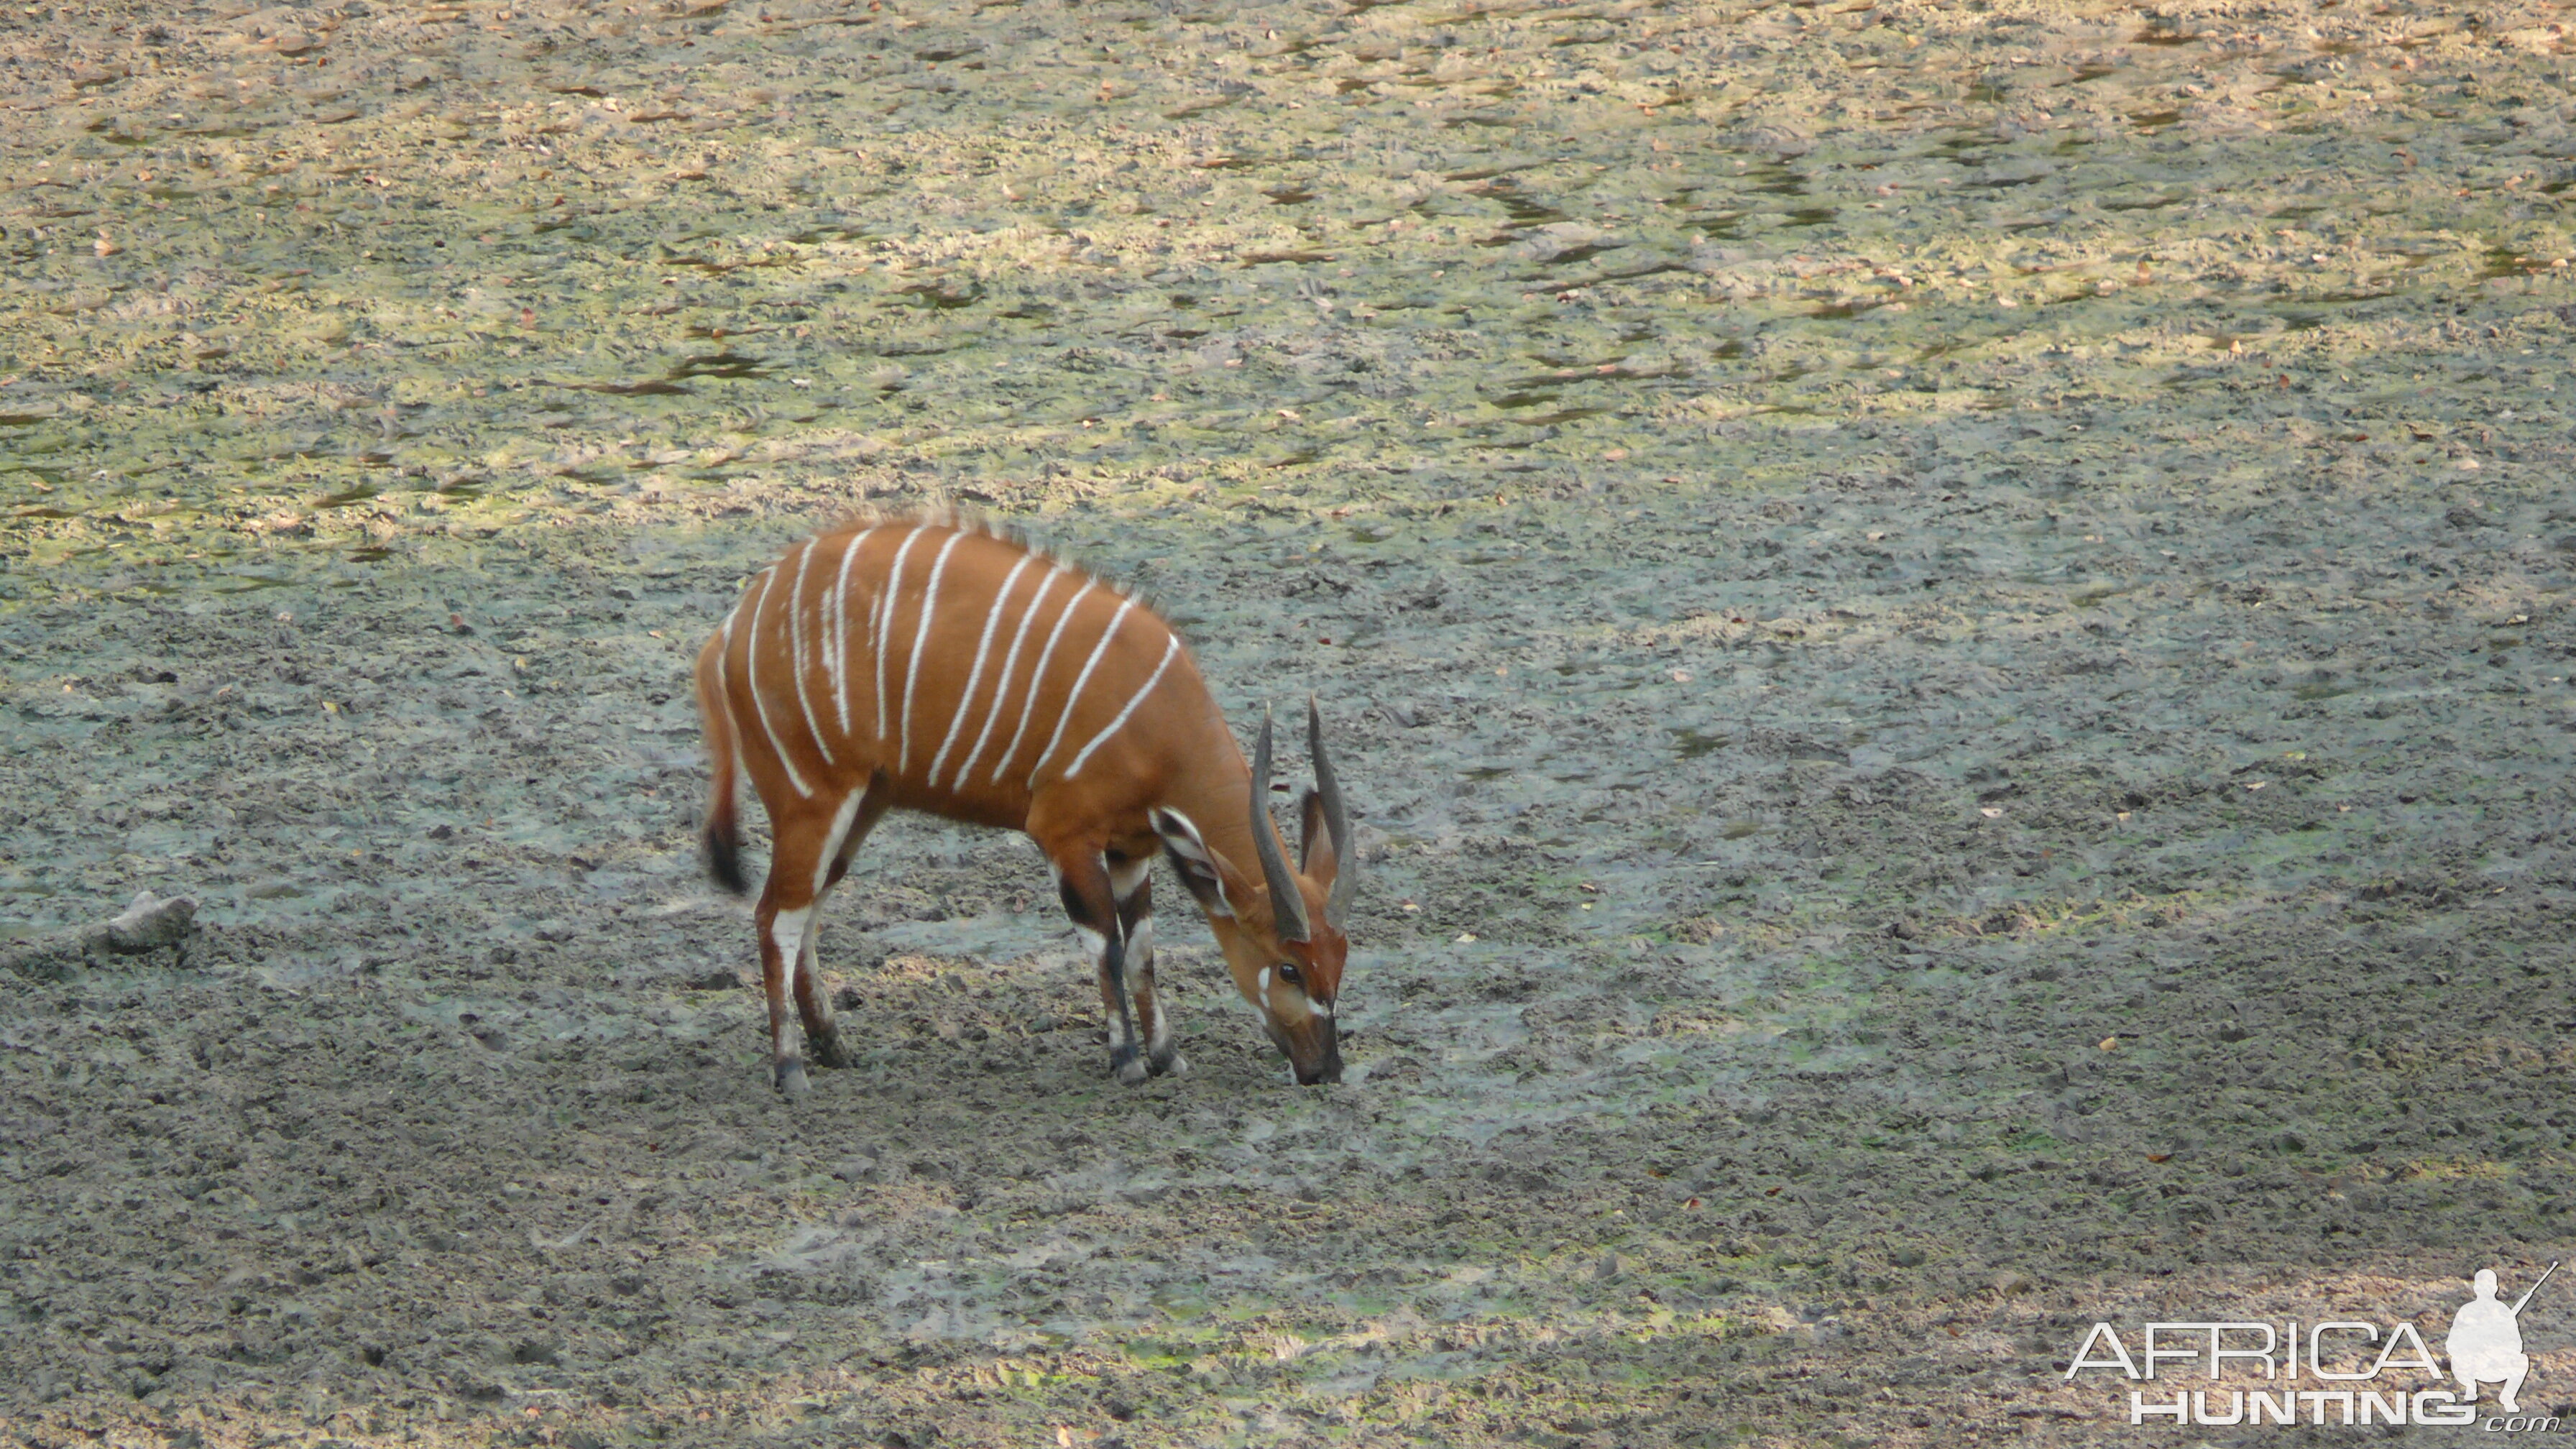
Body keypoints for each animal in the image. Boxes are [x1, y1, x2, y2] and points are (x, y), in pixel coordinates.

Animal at [695, 512, 1360, 1087]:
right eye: (1290, 967)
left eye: (1342, 958)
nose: (1325, 1070)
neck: (1159, 718)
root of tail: (732, 627)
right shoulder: (1064, 832)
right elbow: (1107, 946)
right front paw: (1127, 1061)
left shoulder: (1131, 848)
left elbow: (1142, 951)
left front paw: (1168, 1056)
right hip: (812, 799)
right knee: (775, 916)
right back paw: (790, 1069)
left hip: (861, 804)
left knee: (806, 908)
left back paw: (832, 1045)